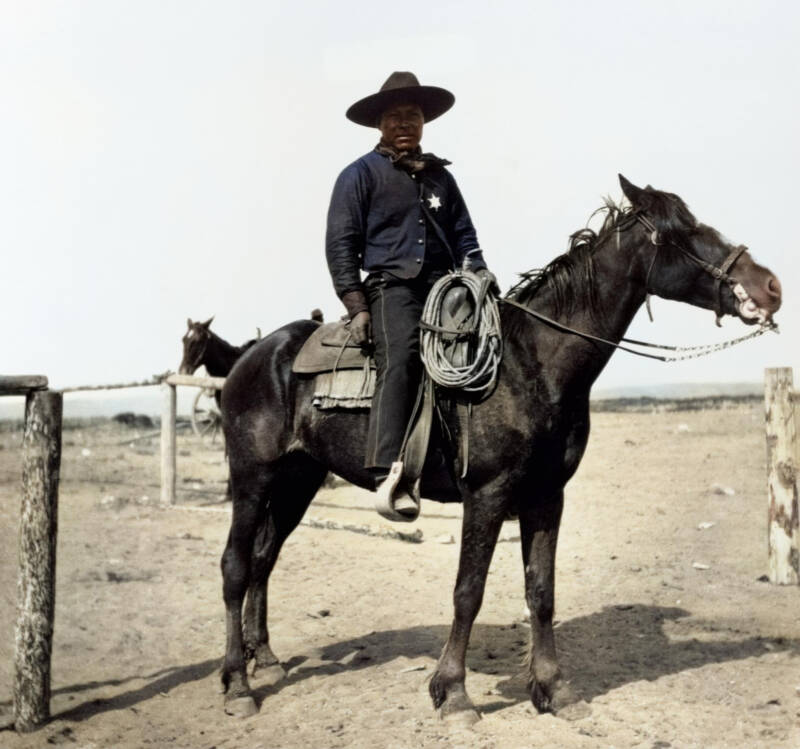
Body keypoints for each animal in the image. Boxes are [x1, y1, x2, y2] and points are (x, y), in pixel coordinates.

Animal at [217, 178, 780, 720]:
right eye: (683, 231)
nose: (770, 286)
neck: (532, 363)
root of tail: (255, 354)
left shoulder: (546, 496)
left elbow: (541, 591)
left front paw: (553, 688)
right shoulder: (487, 495)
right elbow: (468, 592)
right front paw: (453, 693)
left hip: (298, 480)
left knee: (265, 558)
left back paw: (266, 659)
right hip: (252, 478)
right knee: (236, 566)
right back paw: (237, 686)